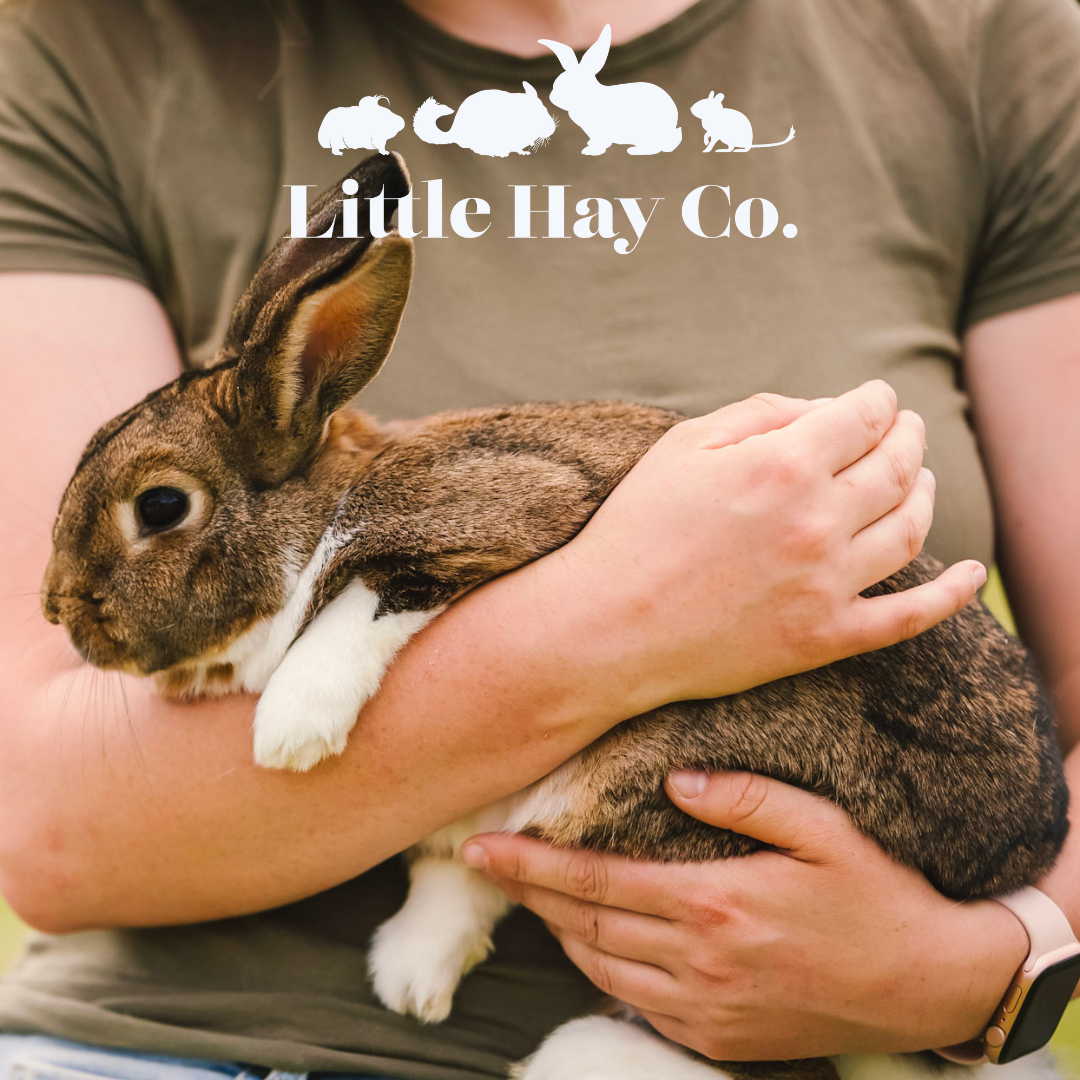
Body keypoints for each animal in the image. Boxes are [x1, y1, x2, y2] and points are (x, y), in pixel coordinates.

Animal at [42, 151, 1068, 1080]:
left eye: (161, 508)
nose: (59, 614)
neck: (322, 506)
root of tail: (1020, 845)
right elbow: (452, 861)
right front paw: (411, 982)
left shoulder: (487, 518)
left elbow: (365, 596)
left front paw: (290, 733)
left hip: (661, 791)